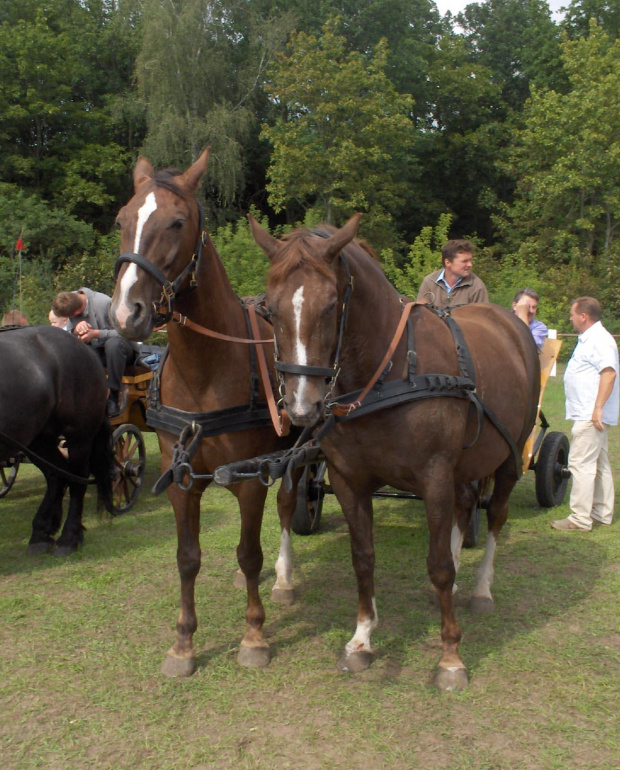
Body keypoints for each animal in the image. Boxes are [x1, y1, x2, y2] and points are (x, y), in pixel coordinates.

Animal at [109, 148, 300, 672]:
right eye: (122, 220)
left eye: (177, 222)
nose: (125, 313)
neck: (204, 372)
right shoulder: (180, 479)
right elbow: (188, 557)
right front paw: (183, 642)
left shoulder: (250, 476)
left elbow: (249, 552)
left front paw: (254, 636)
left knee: (287, 506)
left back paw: (283, 578)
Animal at [249, 214, 540, 688]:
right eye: (269, 310)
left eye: (331, 305)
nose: (301, 406)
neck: (388, 374)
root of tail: (510, 322)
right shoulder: (349, 479)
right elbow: (363, 558)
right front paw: (362, 638)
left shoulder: (434, 476)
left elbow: (438, 564)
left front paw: (450, 657)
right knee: (465, 505)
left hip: (509, 459)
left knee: (495, 515)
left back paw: (480, 588)